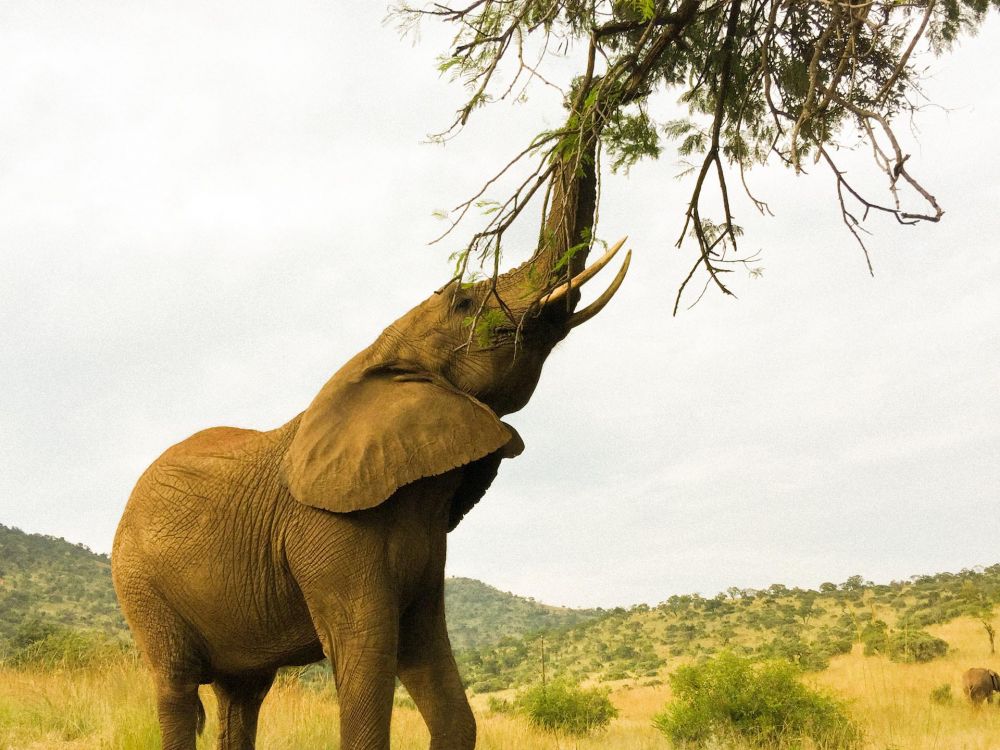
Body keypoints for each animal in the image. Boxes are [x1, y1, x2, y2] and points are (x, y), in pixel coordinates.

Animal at [111, 223, 632, 750]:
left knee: (242, 693)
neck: (375, 357)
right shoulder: (326, 529)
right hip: (140, 585)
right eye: (463, 302)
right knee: (177, 687)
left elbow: (429, 657)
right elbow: (367, 647)